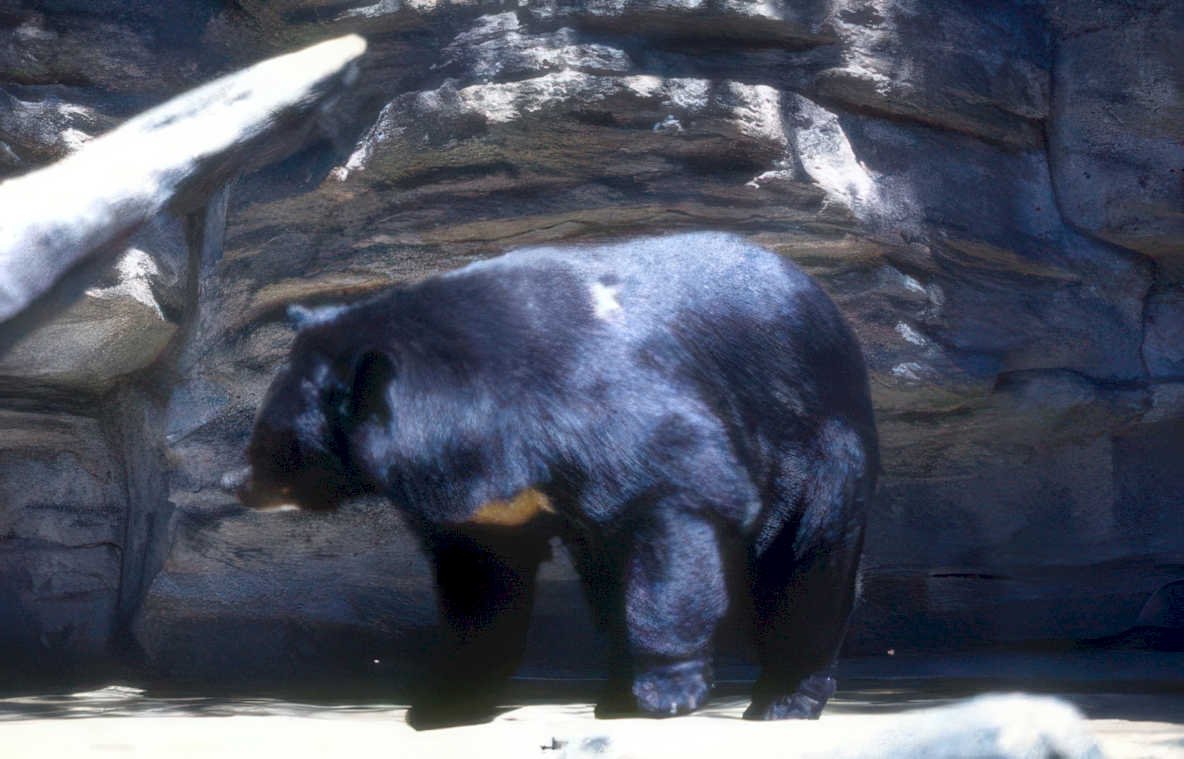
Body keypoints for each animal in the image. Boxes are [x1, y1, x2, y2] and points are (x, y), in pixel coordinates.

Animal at [233, 232, 878, 729]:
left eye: (271, 441)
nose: (232, 482)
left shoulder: (611, 410)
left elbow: (675, 504)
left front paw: (668, 692)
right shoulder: (485, 502)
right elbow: (484, 584)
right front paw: (448, 699)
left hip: (817, 436)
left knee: (808, 563)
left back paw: (783, 700)